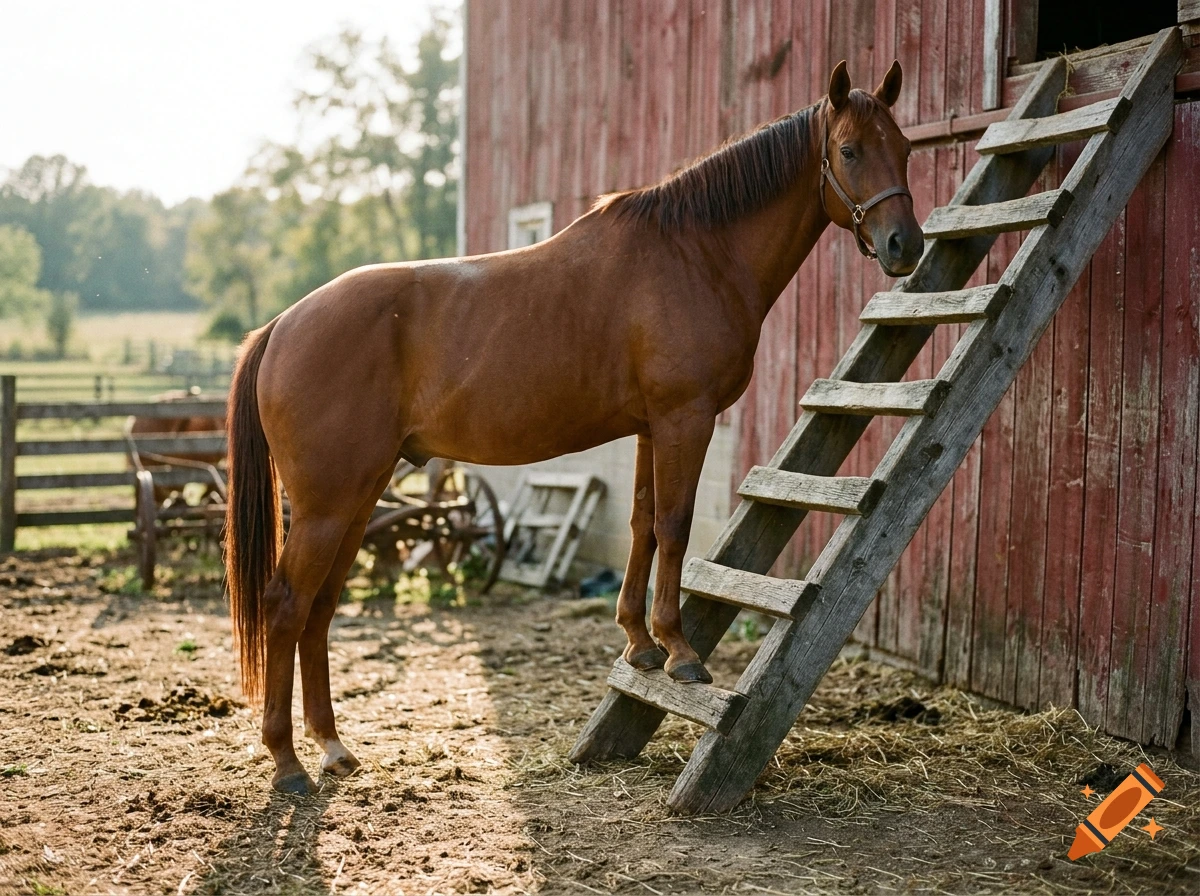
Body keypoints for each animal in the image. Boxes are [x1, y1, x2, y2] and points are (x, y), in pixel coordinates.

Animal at [224, 60, 923, 794]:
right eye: (849, 150)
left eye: (905, 147)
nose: (905, 245)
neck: (696, 251)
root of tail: (281, 325)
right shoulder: (685, 418)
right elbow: (674, 526)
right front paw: (679, 652)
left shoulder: (650, 427)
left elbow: (642, 524)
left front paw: (639, 644)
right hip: (328, 504)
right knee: (285, 606)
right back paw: (287, 762)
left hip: (356, 499)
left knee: (320, 608)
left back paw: (332, 747)